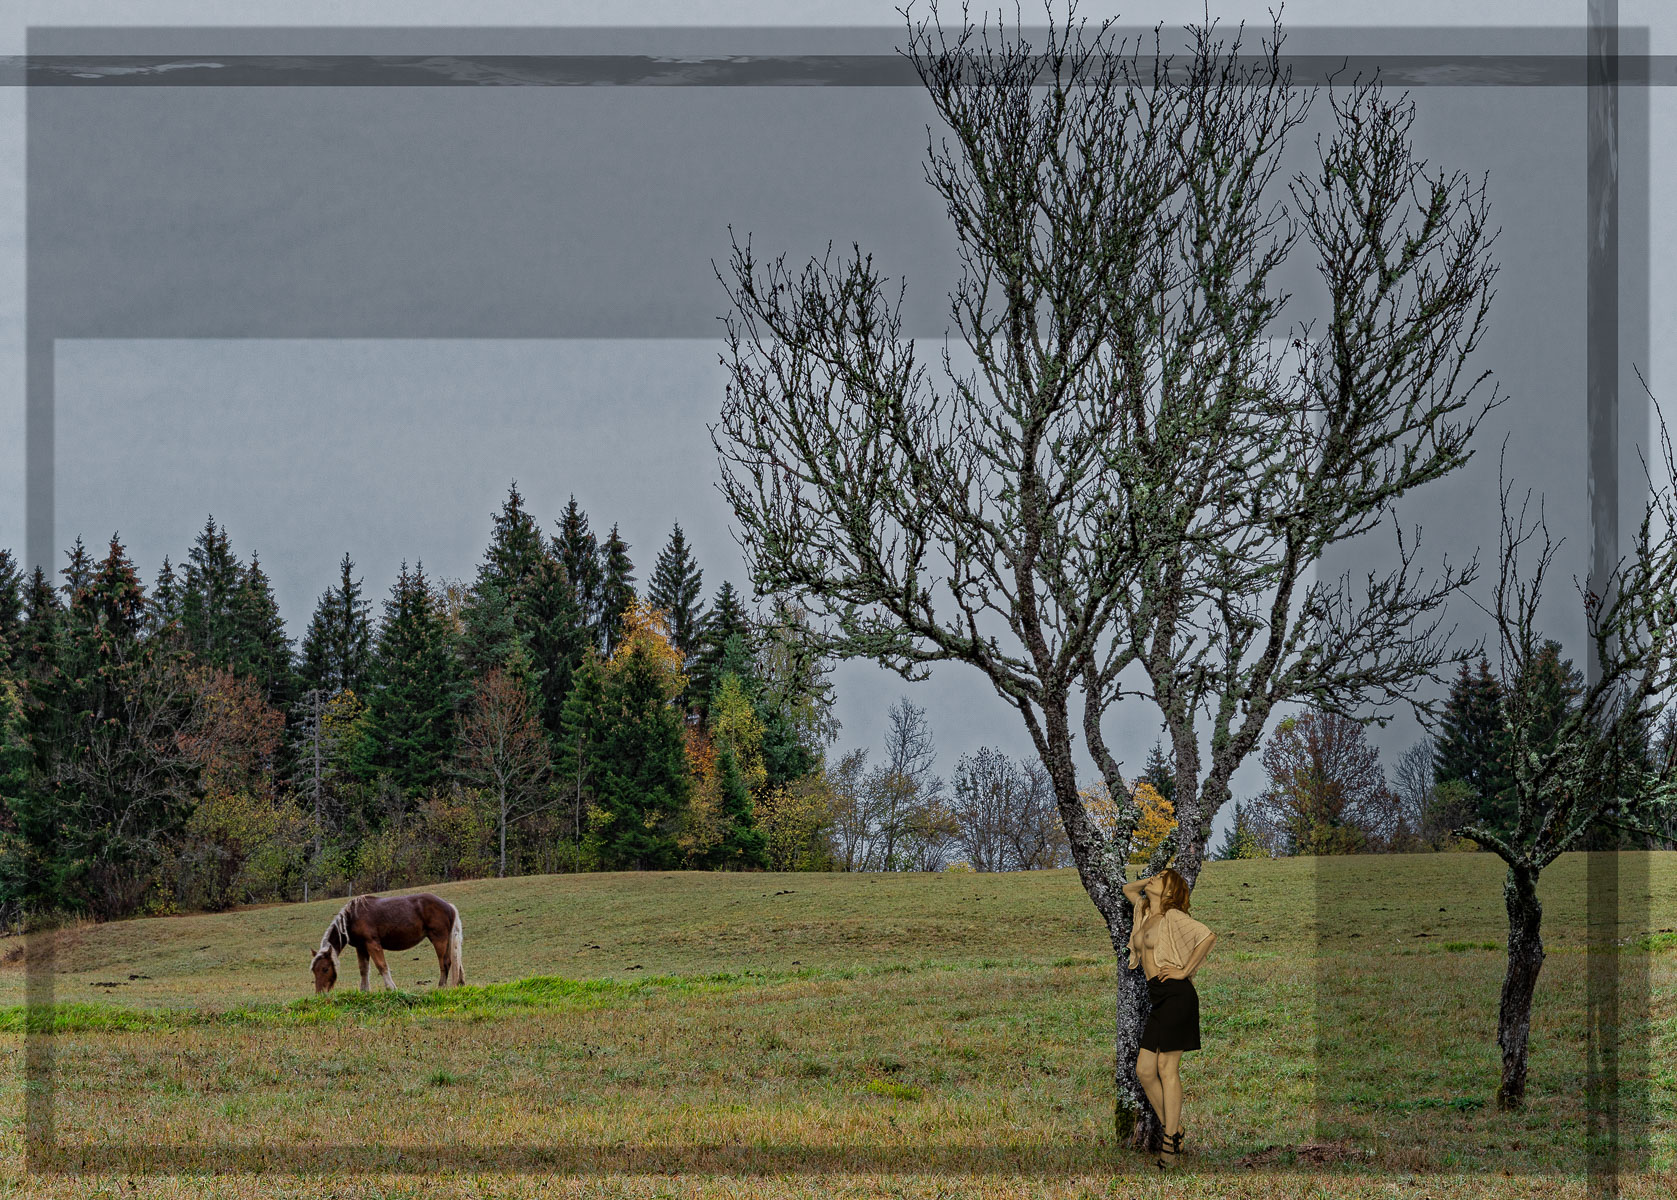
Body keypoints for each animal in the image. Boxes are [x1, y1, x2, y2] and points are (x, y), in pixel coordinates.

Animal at [308, 891, 462, 992]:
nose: (320, 993)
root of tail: (449, 906)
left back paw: (441, 987)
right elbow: (363, 969)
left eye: (325, 968)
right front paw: (364, 991)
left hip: (438, 939)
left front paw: (391, 988)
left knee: (445, 963)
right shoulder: (361, 947)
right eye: (314, 970)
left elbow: (382, 966)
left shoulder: (372, 944)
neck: (352, 917)